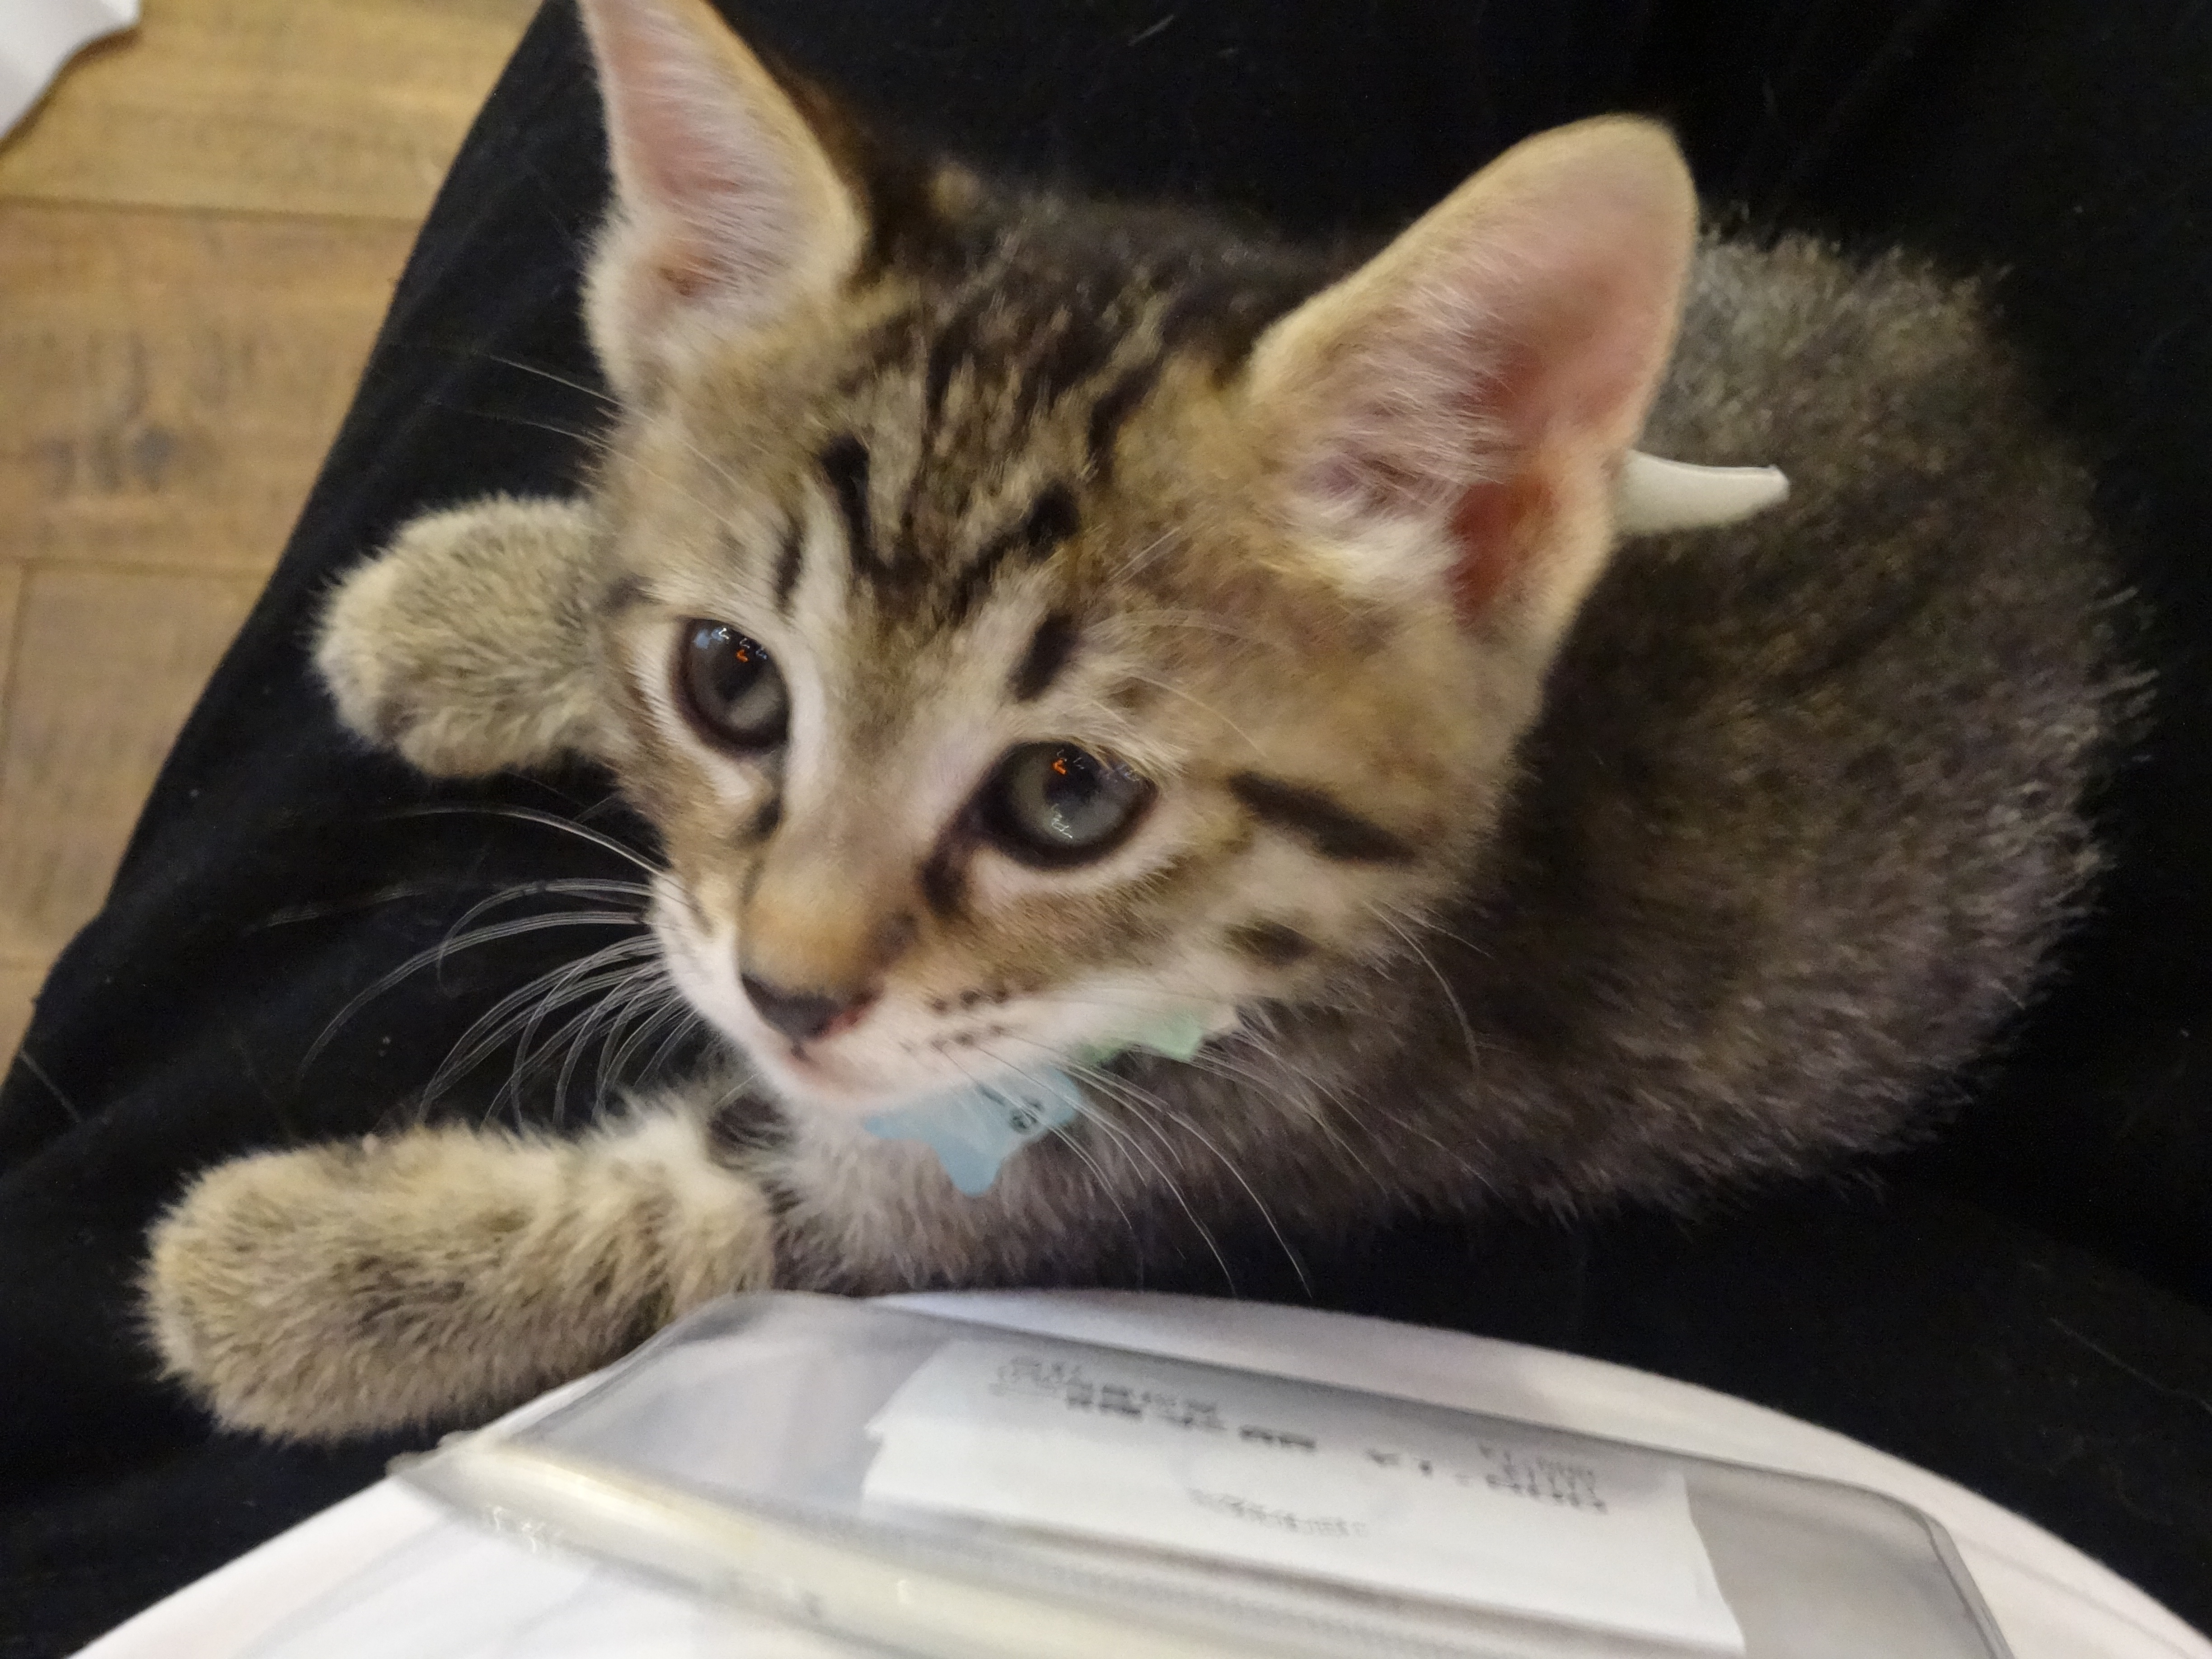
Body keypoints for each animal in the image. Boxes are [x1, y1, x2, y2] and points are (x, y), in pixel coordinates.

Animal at [142, 0, 2131, 1441]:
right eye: (729, 679)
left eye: (1067, 796)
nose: (787, 992)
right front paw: (477, 603)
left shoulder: (1033, 1193)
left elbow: (691, 1224)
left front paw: (286, 1276)